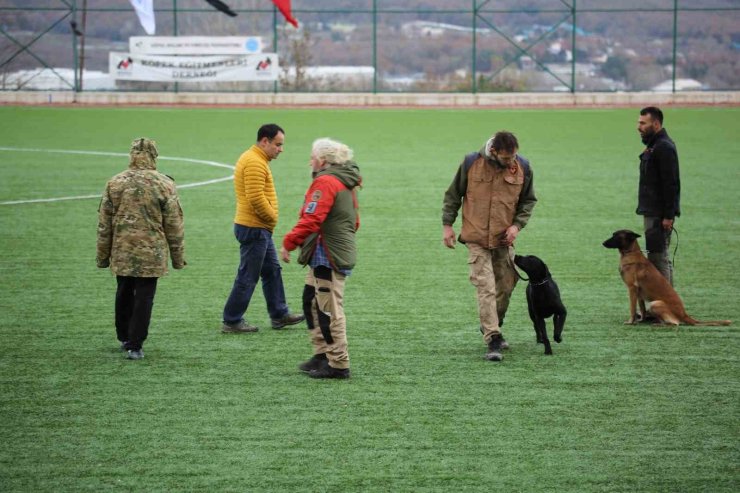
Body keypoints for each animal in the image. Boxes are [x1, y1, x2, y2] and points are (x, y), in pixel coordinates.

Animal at [604, 231, 732, 326]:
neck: (630, 253)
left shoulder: (632, 289)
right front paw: (640, 320)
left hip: (655, 303)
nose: (603, 243)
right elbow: (642, 308)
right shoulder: (638, 293)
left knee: (675, 323)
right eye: (613, 234)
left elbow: (632, 308)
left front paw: (631, 322)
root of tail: (684, 314)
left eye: (617, 236)